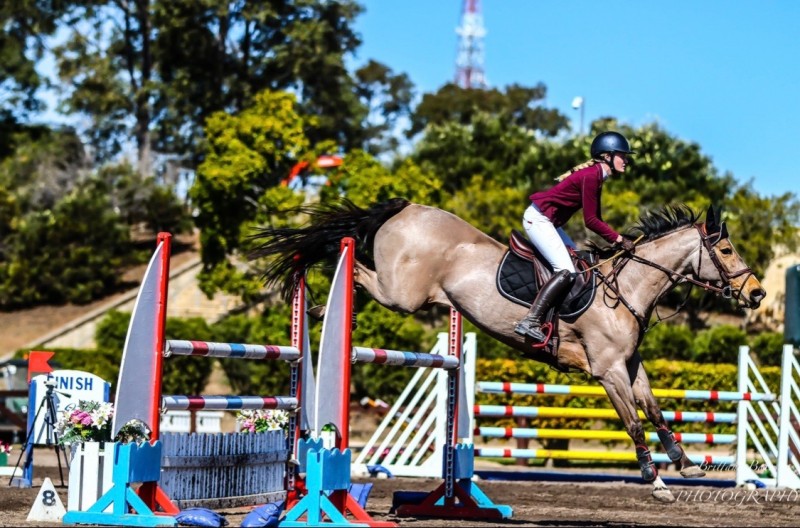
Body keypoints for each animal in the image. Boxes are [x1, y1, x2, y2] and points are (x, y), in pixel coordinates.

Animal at [250, 198, 765, 502]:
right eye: (725, 250)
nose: (758, 294)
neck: (629, 288)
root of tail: (406, 208)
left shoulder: (630, 365)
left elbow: (656, 410)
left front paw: (686, 463)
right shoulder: (608, 371)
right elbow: (634, 422)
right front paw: (656, 482)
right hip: (402, 294)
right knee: (353, 263)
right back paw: (321, 301)